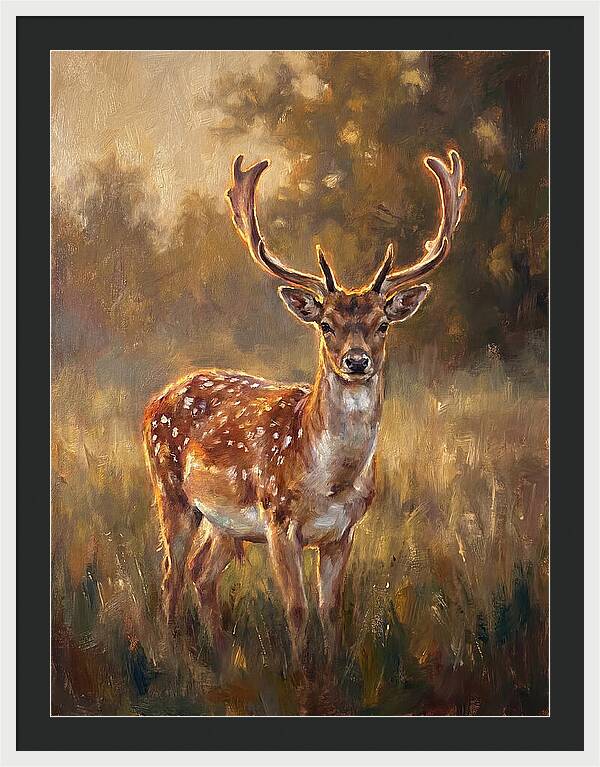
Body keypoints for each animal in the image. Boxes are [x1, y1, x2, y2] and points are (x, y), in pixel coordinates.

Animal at [143, 149, 466, 669]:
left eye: (382, 324)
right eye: (327, 324)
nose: (357, 361)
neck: (330, 483)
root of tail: (158, 398)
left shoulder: (343, 532)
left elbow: (330, 610)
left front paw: (331, 672)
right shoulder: (278, 521)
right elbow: (295, 609)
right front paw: (300, 675)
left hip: (225, 523)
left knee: (200, 571)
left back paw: (221, 655)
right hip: (171, 491)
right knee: (171, 573)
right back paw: (174, 654)